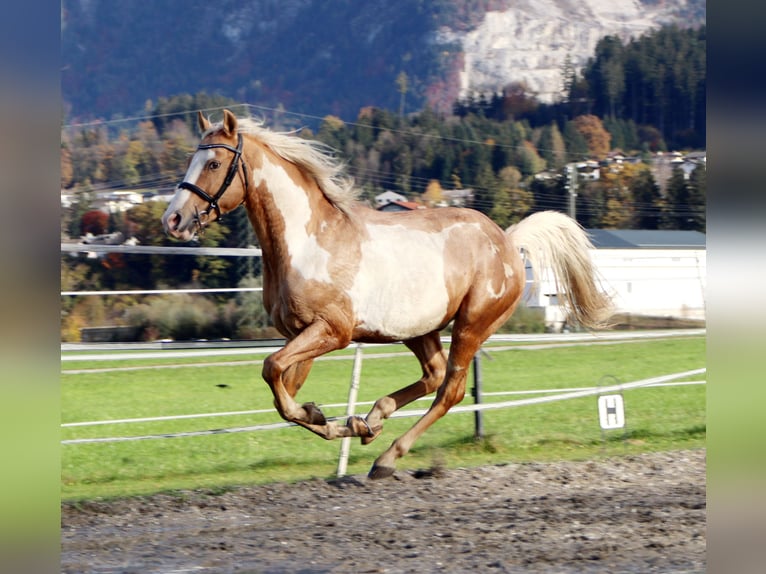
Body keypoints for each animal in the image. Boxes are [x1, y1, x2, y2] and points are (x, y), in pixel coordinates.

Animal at [161, 109, 612, 479]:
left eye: (214, 163)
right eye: (192, 160)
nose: (174, 219)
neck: (308, 242)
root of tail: (506, 239)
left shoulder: (333, 332)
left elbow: (272, 371)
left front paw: (331, 420)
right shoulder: (300, 334)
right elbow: (283, 391)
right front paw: (332, 420)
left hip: (471, 324)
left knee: (450, 389)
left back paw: (386, 457)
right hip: (418, 329)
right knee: (433, 375)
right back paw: (373, 419)